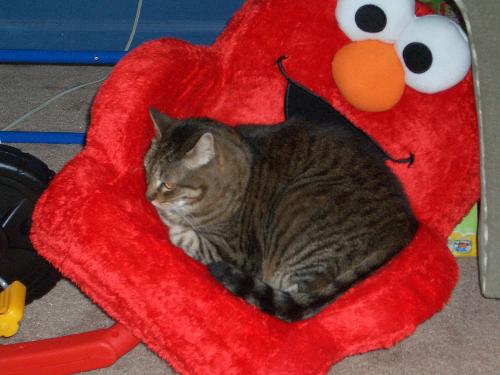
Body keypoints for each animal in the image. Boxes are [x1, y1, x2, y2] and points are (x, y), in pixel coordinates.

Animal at [145, 108, 418, 324]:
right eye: (147, 169)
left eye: (168, 184)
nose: (148, 197)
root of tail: (403, 223)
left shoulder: (236, 253)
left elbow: (192, 239)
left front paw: (175, 226)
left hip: (300, 214)